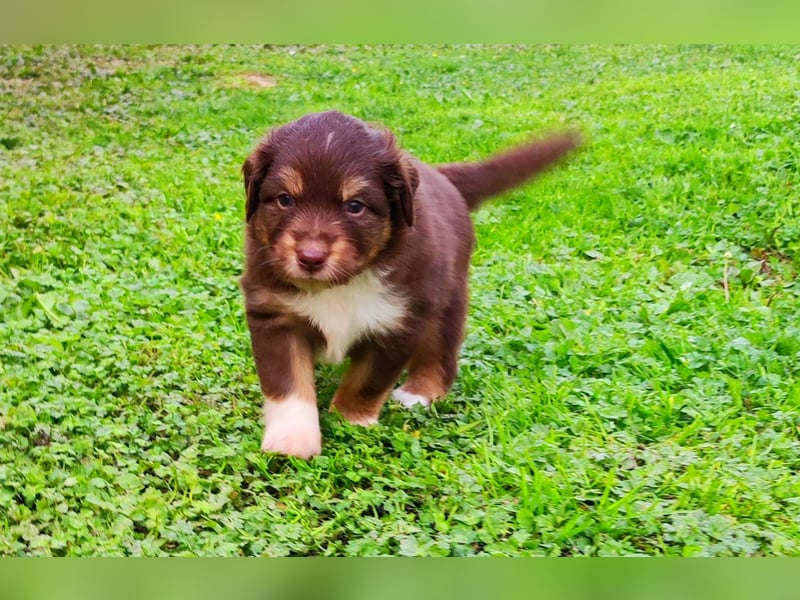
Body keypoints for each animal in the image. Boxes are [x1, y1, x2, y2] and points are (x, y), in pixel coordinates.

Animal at [241, 111, 580, 460]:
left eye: (355, 206)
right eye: (285, 199)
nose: (310, 257)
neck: (343, 284)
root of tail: (442, 175)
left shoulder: (400, 322)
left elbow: (367, 381)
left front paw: (350, 419)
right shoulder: (274, 315)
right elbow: (288, 384)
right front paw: (292, 440)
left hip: (448, 301)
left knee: (441, 353)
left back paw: (418, 394)